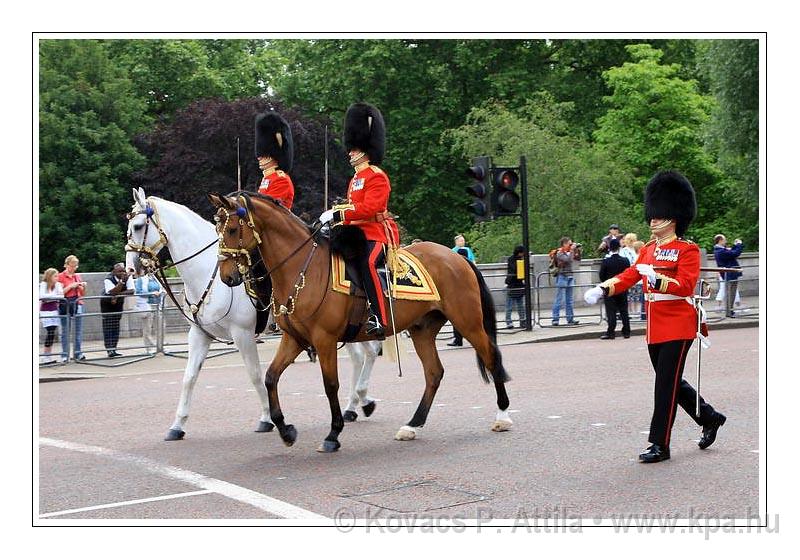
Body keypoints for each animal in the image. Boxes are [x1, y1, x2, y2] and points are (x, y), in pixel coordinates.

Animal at [125, 190, 382, 440]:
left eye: (138, 226)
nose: (130, 268)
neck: (206, 273)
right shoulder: (200, 333)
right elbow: (189, 378)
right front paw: (177, 425)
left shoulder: (243, 333)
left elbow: (255, 375)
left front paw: (267, 418)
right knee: (363, 355)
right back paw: (358, 403)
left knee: (365, 354)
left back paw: (357, 402)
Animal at [208, 190, 512, 452]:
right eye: (217, 229)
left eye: (232, 230)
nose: (227, 277)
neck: (302, 268)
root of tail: (455, 256)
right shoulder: (294, 338)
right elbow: (271, 377)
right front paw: (286, 430)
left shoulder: (324, 339)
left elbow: (330, 385)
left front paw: (333, 433)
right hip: (422, 328)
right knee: (434, 373)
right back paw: (412, 425)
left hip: (467, 321)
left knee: (490, 356)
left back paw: (503, 415)